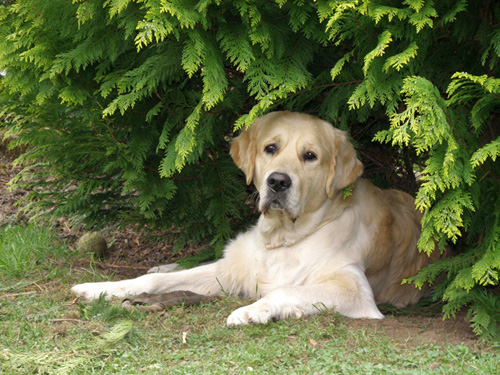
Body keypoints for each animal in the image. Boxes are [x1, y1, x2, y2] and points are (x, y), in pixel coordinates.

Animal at [71, 111, 438, 326]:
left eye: (310, 156)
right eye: (270, 148)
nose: (277, 182)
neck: (285, 238)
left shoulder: (355, 290)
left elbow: (285, 289)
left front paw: (252, 310)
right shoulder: (230, 269)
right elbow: (156, 282)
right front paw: (100, 288)